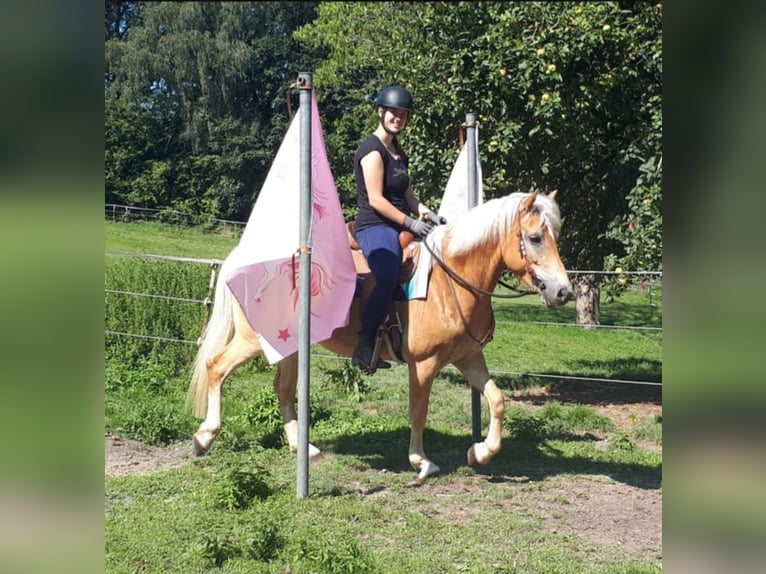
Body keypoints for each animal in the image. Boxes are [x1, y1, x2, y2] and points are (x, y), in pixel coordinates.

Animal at [189, 191, 572, 484]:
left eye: (555, 236)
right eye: (535, 238)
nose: (563, 291)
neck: (449, 280)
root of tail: (243, 258)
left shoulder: (468, 357)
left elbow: (497, 399)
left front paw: (480, 453)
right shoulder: (424, 363)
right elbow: (418, 411)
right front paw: (421, 461)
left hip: (287, 346)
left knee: (282, 388)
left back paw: (303, 448)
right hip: (253, 341)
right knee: (216, 366)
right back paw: (204, 437)